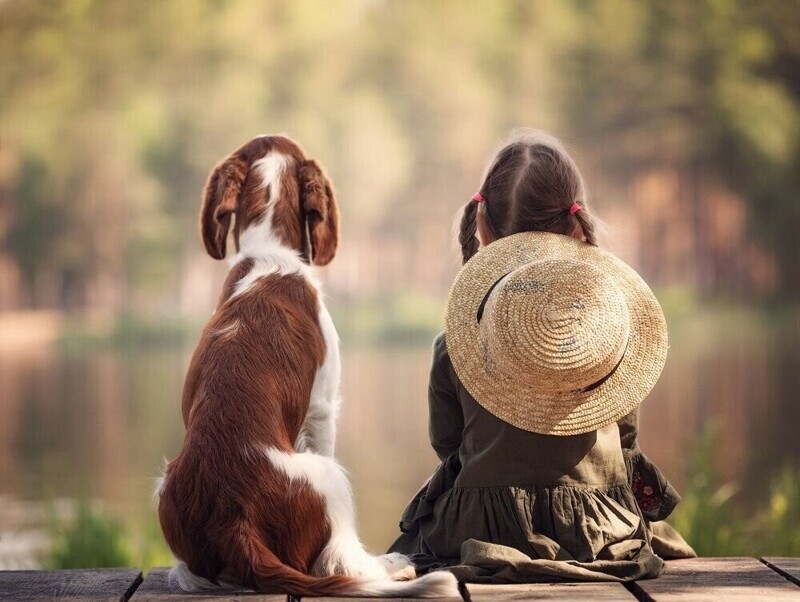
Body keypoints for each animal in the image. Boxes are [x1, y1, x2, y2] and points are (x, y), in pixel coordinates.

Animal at [156, 137, 456, 596]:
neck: (269, 255)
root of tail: (233, 519)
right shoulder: (322, 407)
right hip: (327, 475)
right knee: (340, 561)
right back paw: (393, 564)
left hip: (165, 490)